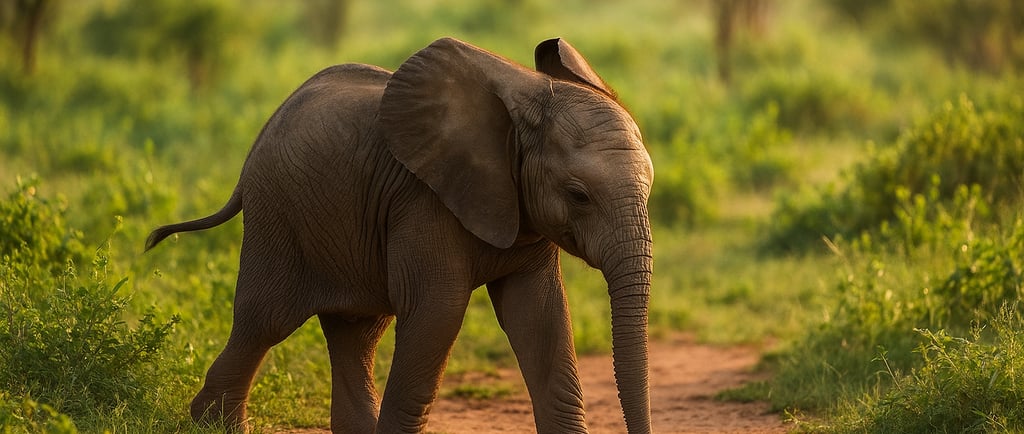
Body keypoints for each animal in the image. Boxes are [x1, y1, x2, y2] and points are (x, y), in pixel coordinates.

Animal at [146, 37, 654, 433]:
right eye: (578, 195)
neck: (524, 98)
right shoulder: (423, 199)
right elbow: (437, 312)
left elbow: (541, 316)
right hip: (278, 214)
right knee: (264, 319)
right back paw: (213, 424)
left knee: (357, 333)